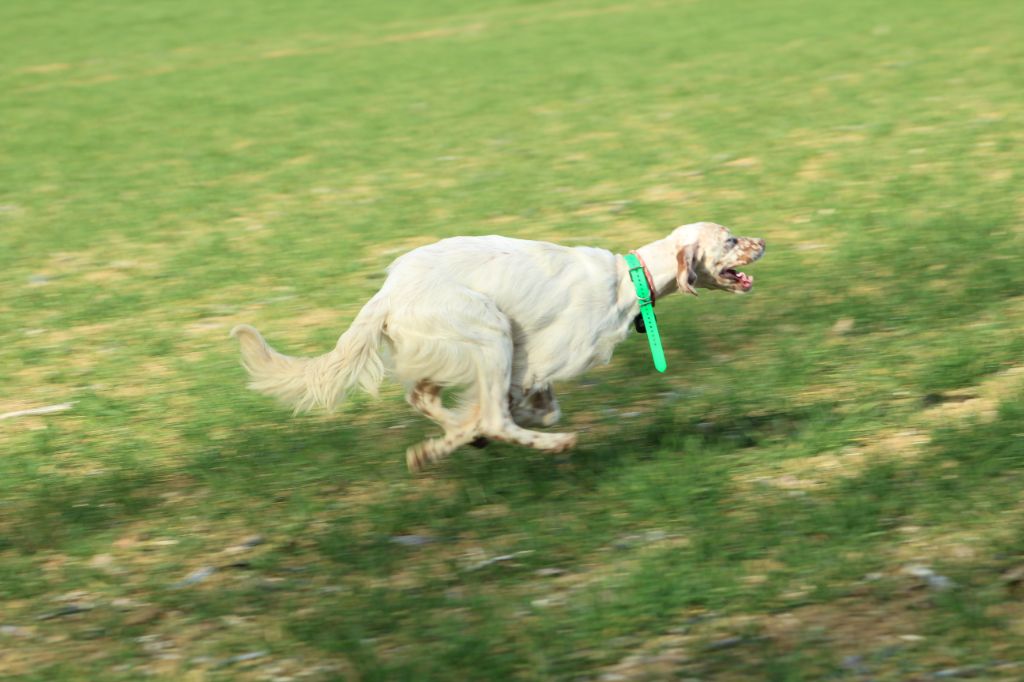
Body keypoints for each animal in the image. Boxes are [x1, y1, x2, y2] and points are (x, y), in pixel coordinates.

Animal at [230, 220, 761, 471]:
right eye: (731, 240)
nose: (763, 242)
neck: (627, 279)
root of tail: (388, 293)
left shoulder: (527, 371)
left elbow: (531, 407)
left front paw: (452, 440)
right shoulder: (536, 360)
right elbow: (517, 410)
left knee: (426, 398)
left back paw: (442, 444)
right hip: (489, 331)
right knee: (490, 417)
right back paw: (541, 444)